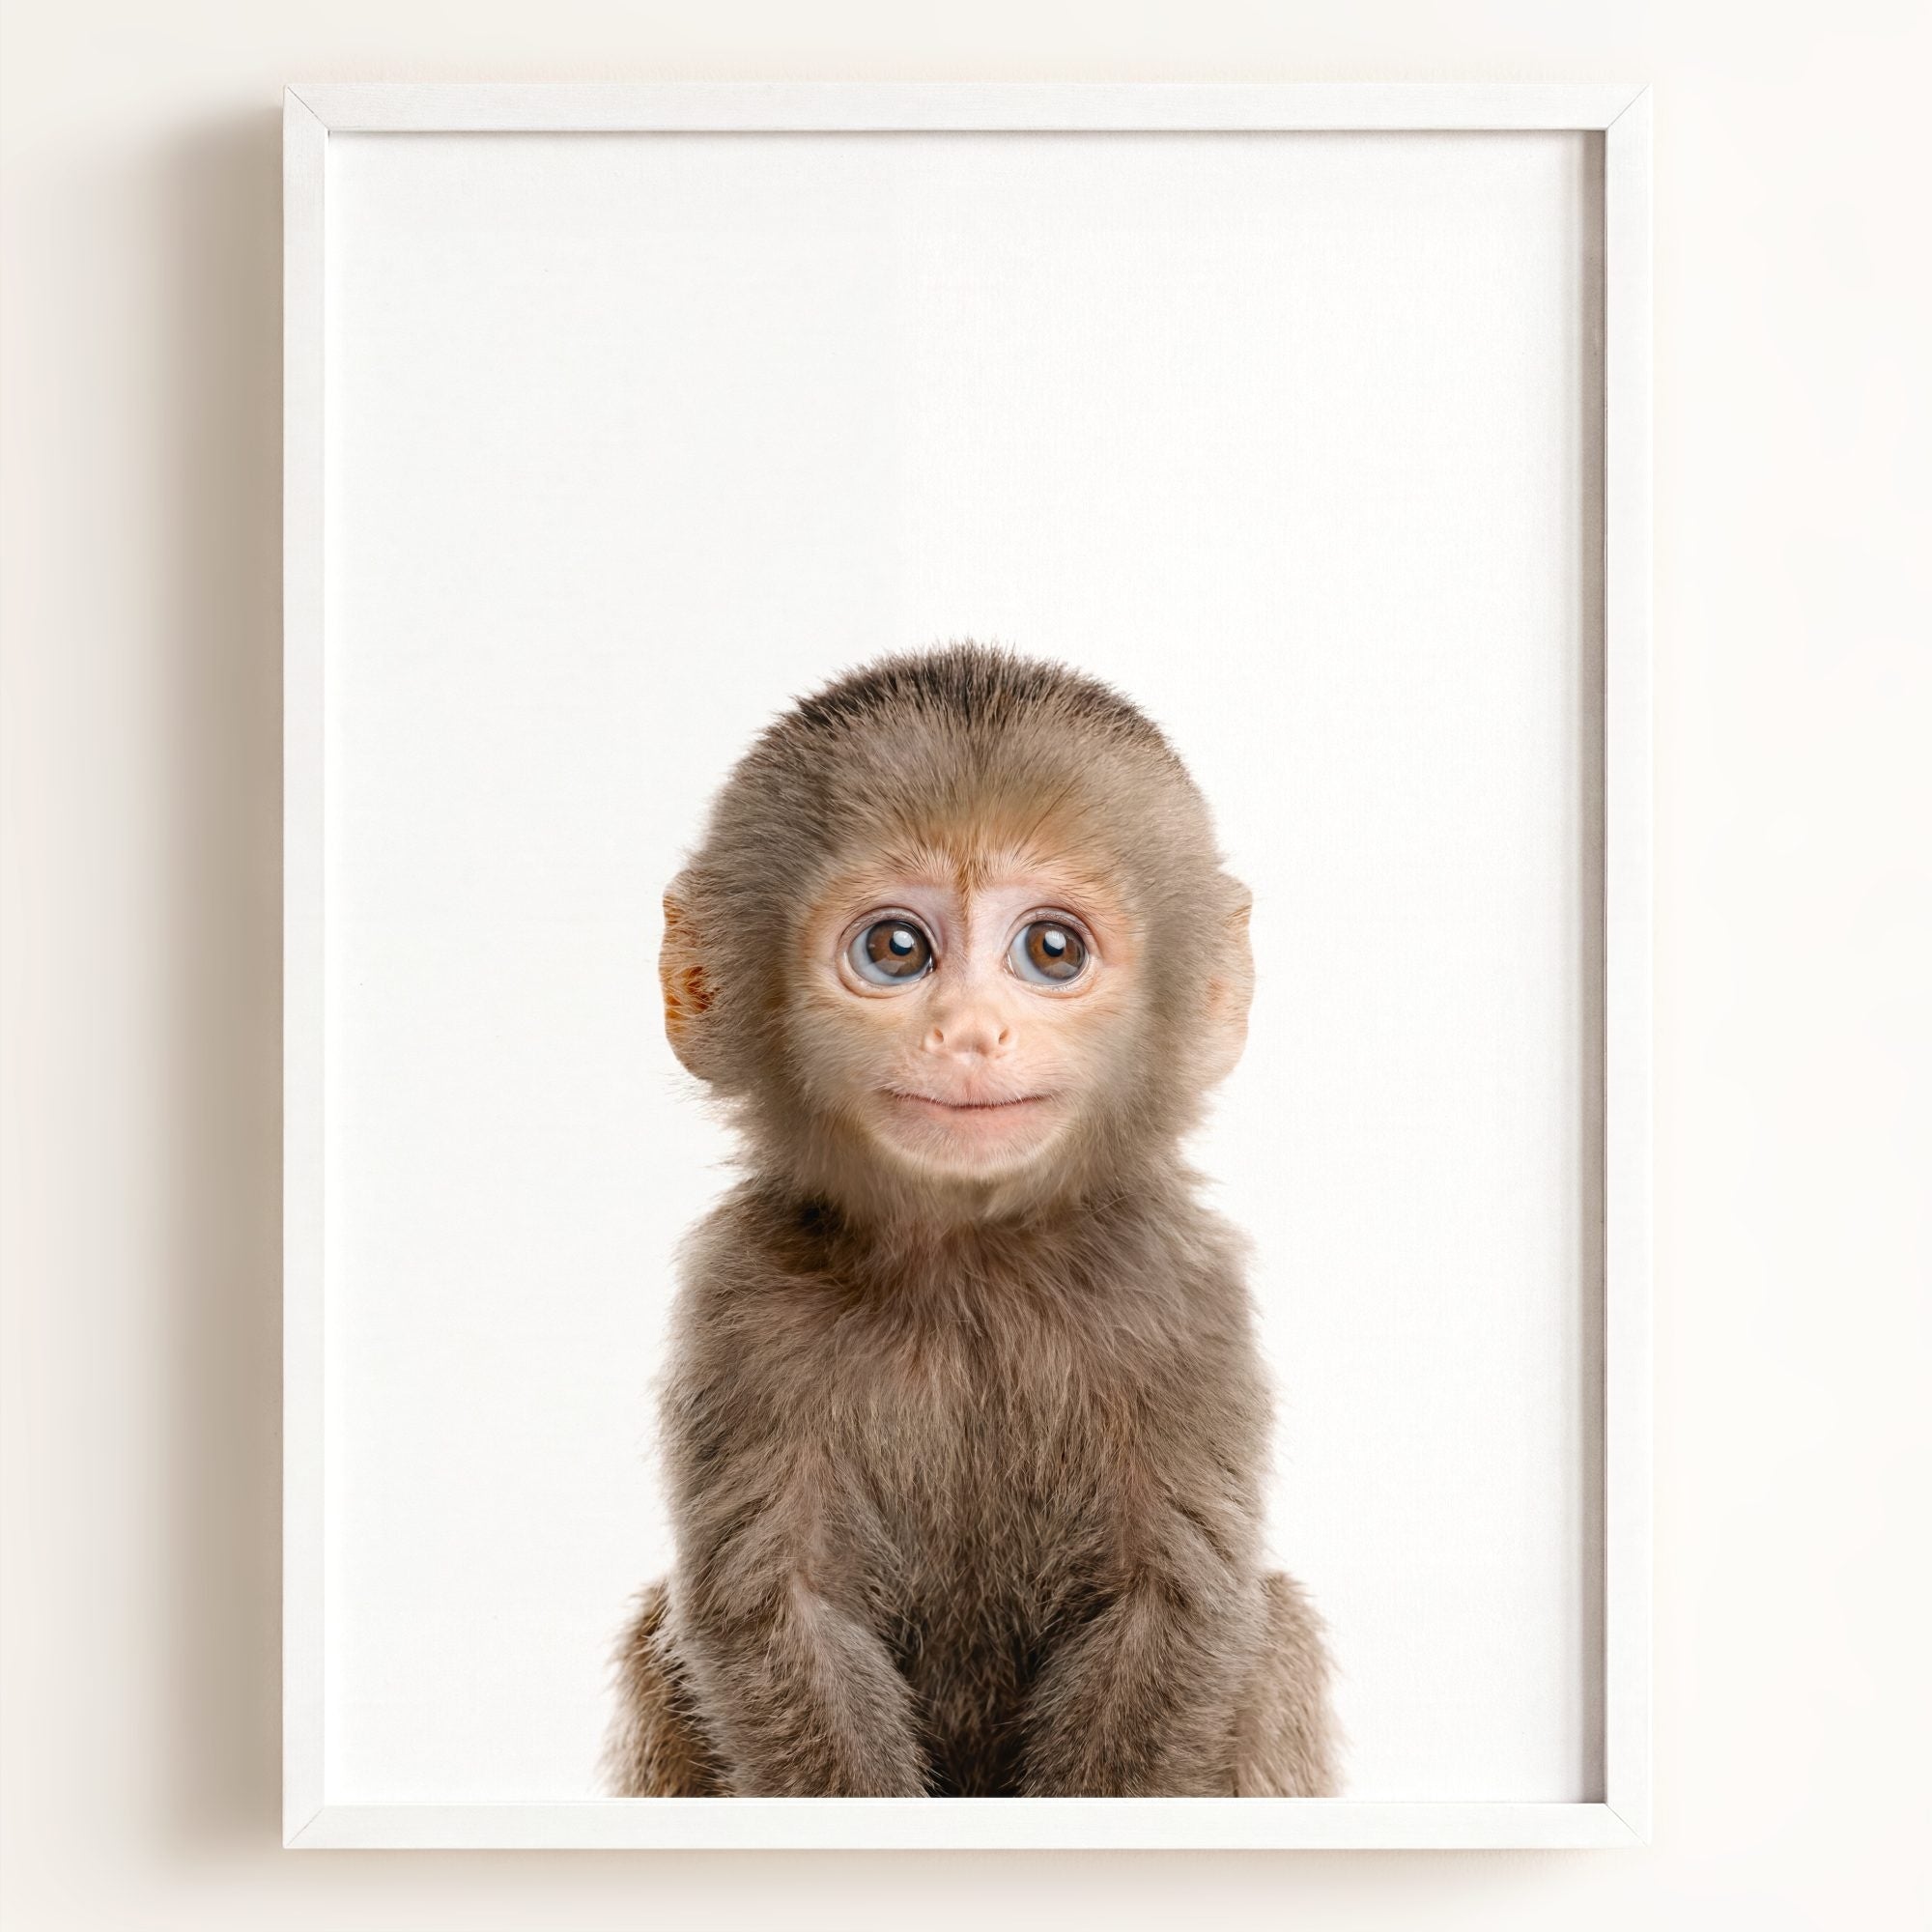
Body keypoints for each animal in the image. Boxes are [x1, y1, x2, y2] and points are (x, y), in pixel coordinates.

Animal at [603, 644, 1338, 1798]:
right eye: (898, 948)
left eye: (1052, 950)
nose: (970, 1032)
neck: (970, 1264)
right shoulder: (739, 1297)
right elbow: (778, 1610)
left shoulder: (1183, 1293)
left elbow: (1171, 1605)